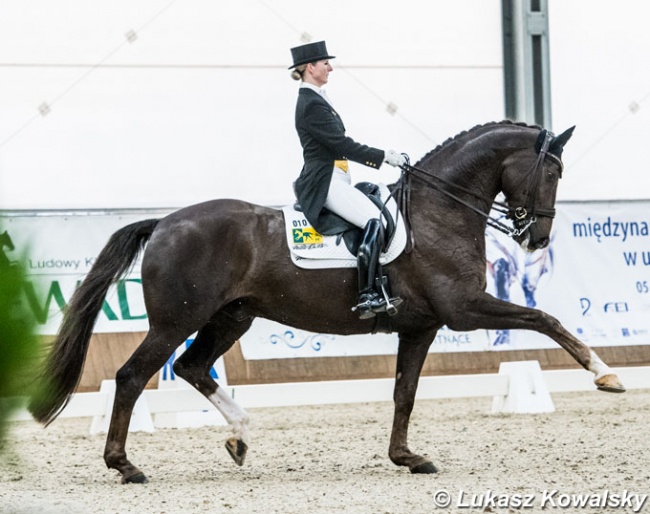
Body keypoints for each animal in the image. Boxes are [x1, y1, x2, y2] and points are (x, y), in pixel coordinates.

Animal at [29, 120, 624, 480]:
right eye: (554, 170)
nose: (536, 240)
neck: (439, 210)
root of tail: (165, 223)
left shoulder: (422, 326)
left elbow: (404, 394)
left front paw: (407, 458)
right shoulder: (463, 308)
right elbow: (545, 317)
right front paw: (605, 374)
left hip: (231, 317)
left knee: (195, 367)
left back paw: (241, 438)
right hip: (176, 320)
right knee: (132, 377)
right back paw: (125, 465)